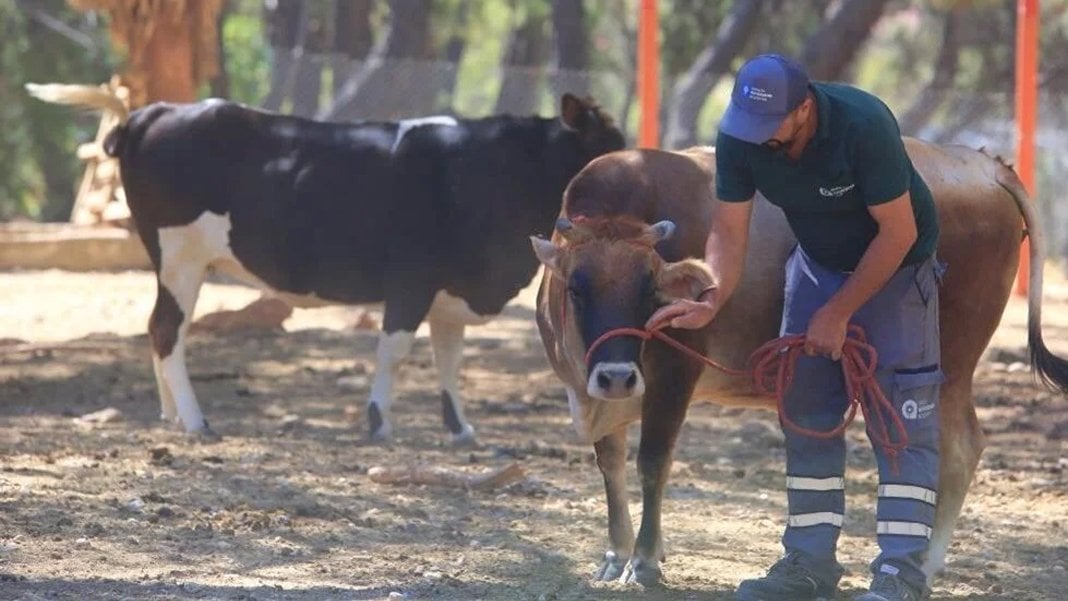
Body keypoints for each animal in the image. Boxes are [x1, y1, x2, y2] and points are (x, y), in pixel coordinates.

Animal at [29, 83, 623, 441]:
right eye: (602, 149)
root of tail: (155, 111)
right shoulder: (410, 281)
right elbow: (394, 352)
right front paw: (378, 421)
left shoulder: (450, 293)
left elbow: (448, 359)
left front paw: (459, 429)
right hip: (181, 258)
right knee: (165, 329)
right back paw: (196, 421)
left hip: (173, 263)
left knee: (159, 330)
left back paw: (172, 413)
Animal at [531, 141, 1068, 589]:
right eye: (576, 287)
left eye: (649, 288)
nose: (617, 374)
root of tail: (983, 164)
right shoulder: (596, 391)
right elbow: (610, 463)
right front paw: (616, 554)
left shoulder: (672, 377)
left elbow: (651, 462)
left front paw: (643, 562)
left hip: (948, 365)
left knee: (959, 448)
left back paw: (927, 562)